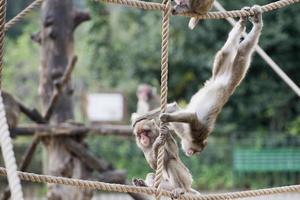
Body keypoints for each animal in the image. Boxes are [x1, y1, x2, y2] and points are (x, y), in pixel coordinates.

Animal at [161, 5, 264, 156]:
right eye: (196, 151)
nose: (191, 153)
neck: (192, 138)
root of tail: (227, 85)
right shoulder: (198, 132)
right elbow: (192, 116)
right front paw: (165, 118)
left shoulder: (189, 132)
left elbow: (176, 109)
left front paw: (165, 115)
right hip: (231, 73)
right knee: (242, 52)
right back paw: (256, 26)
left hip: (220, 72)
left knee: (228, 51)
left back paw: (243, 23)